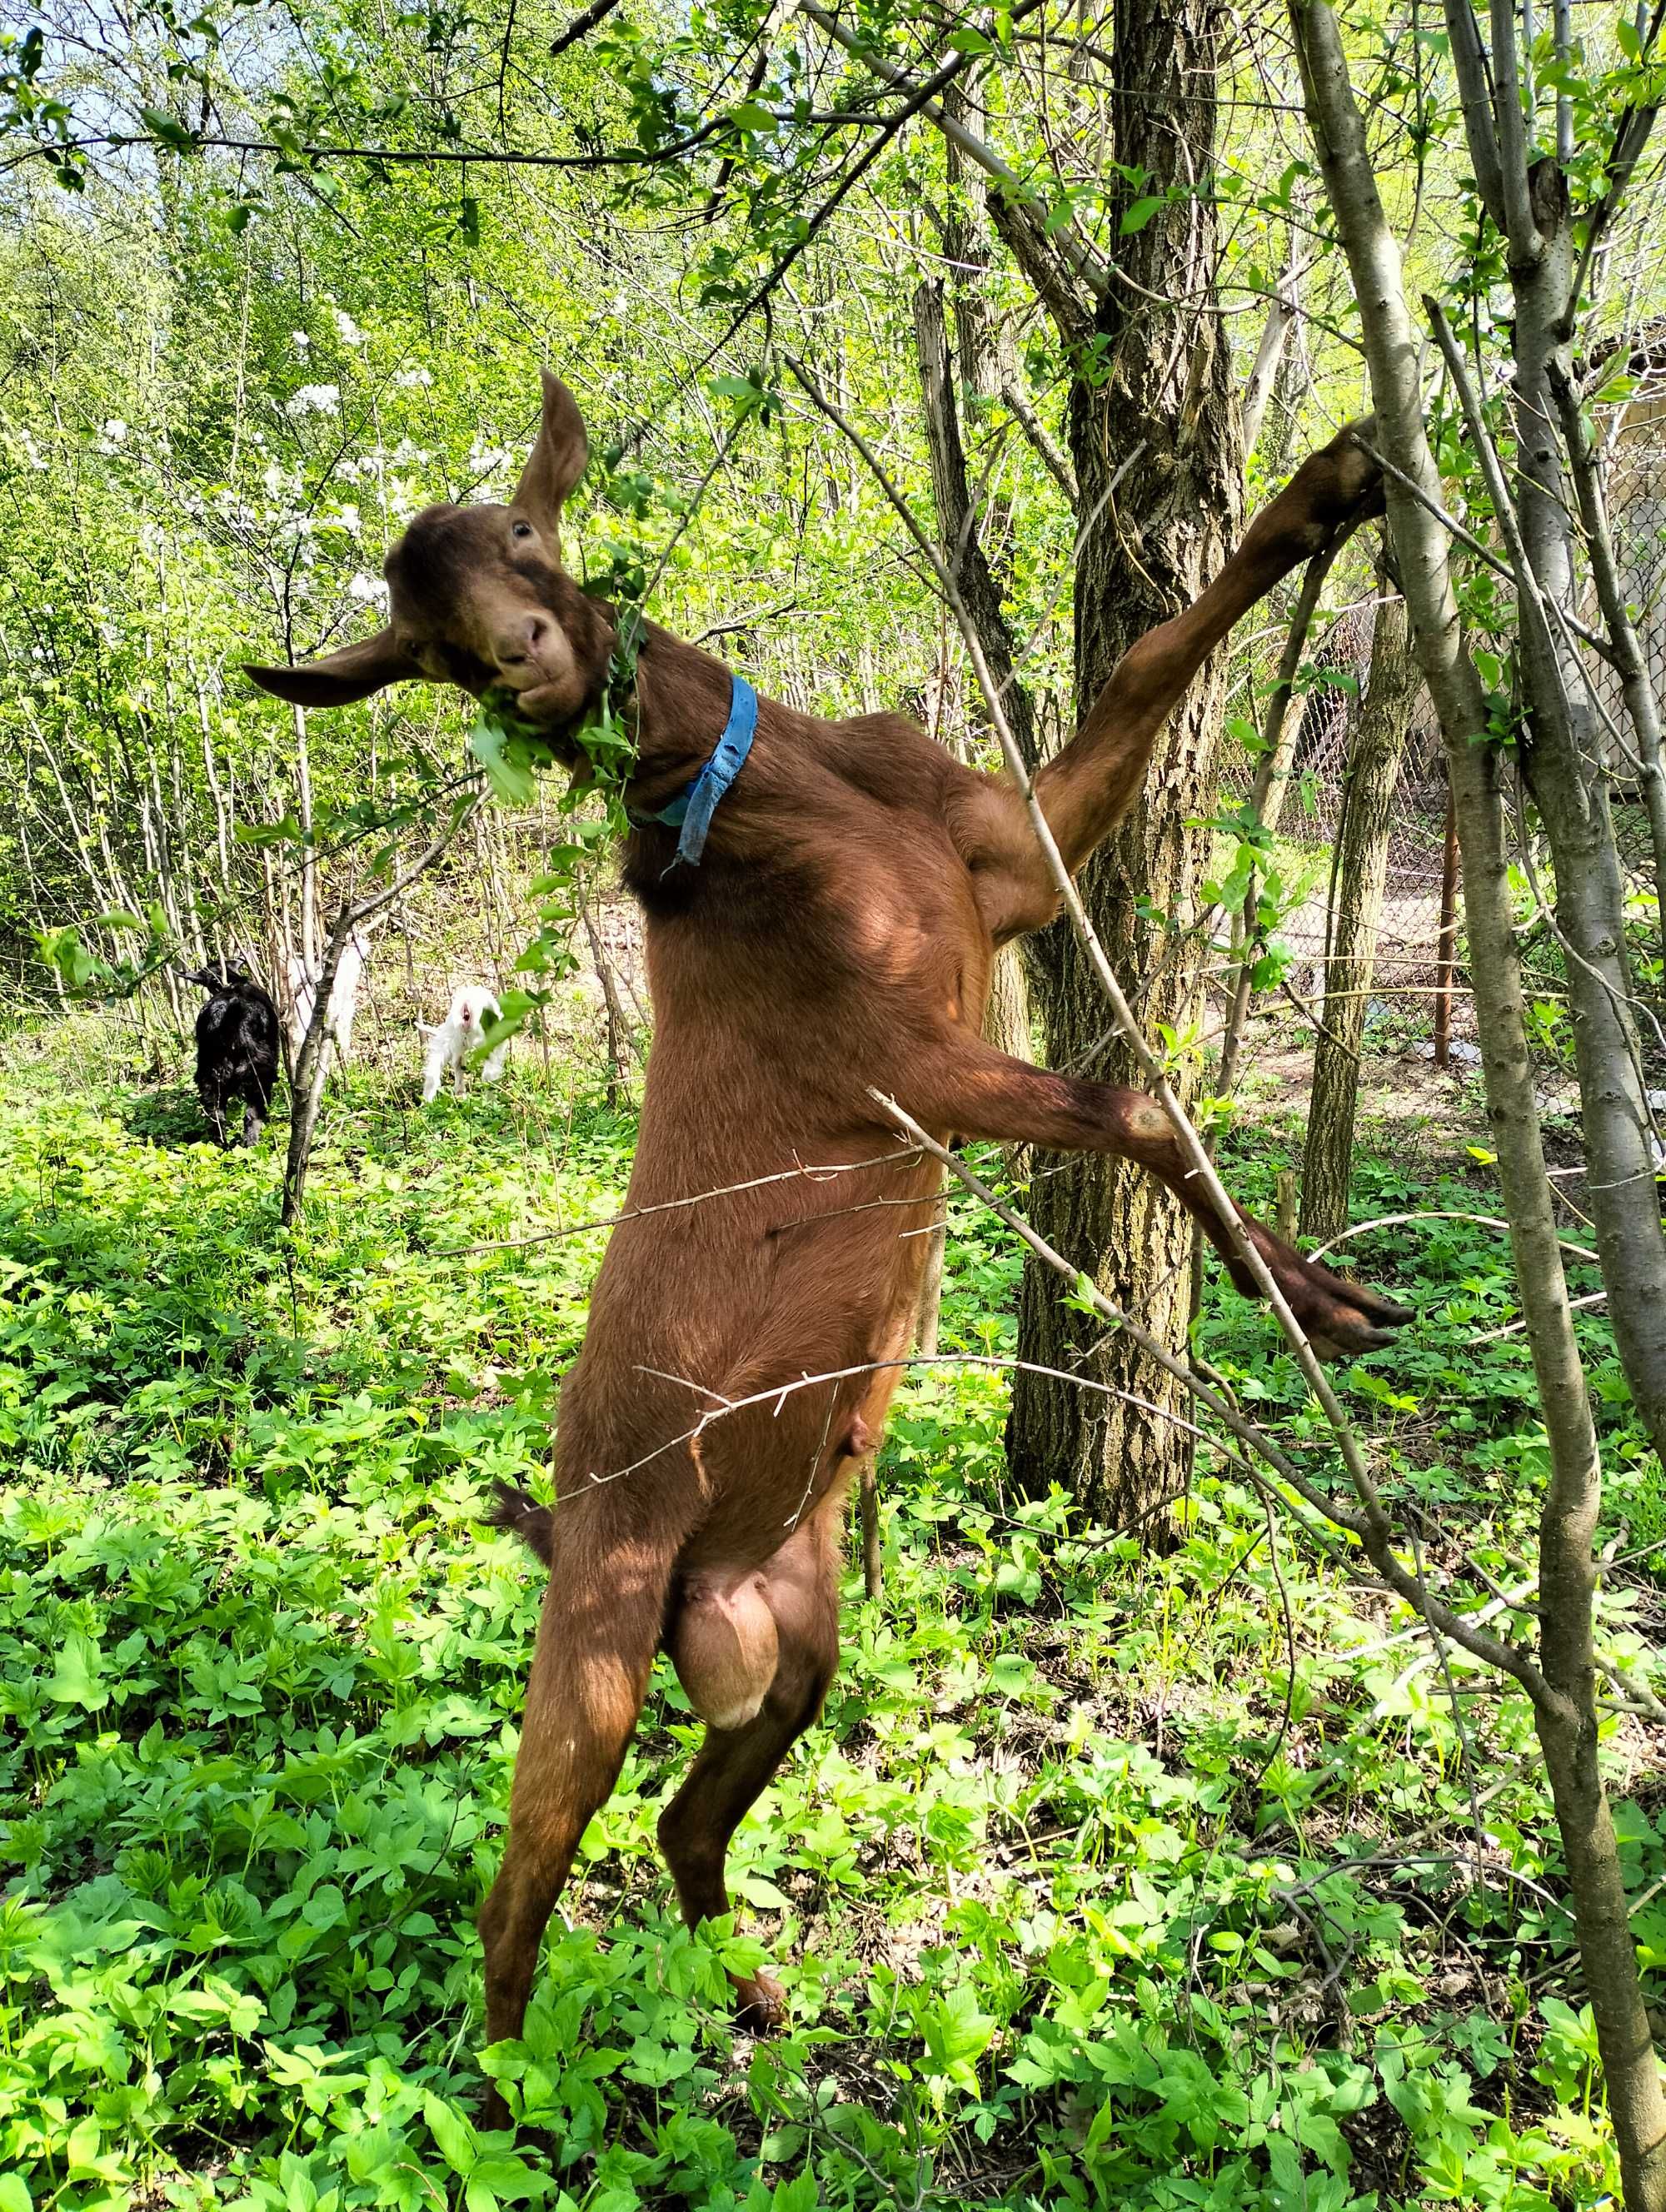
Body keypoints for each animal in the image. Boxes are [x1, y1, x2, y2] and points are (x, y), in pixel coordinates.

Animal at [184, 964, 279, 1150]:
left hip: (210, 1075)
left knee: (217, 1117)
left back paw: (220, 1145)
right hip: (258, 1075)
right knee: (252, 1115)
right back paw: (252, 1146)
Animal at [250, 371, 1407, 2115]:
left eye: (520, 530)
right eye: (427, 646)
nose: (523, 663)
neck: (759, 794)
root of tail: (638, 1564)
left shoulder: (1008, 865)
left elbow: (1148, 660)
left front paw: (1333, 486)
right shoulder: (902, 1062)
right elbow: (1139, 1108)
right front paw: (1305, 1288)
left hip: (794, 1647)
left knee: (684, 1824)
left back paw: (754, 1998)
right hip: (597, 1649)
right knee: (520, 1888)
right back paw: (514, 2100)